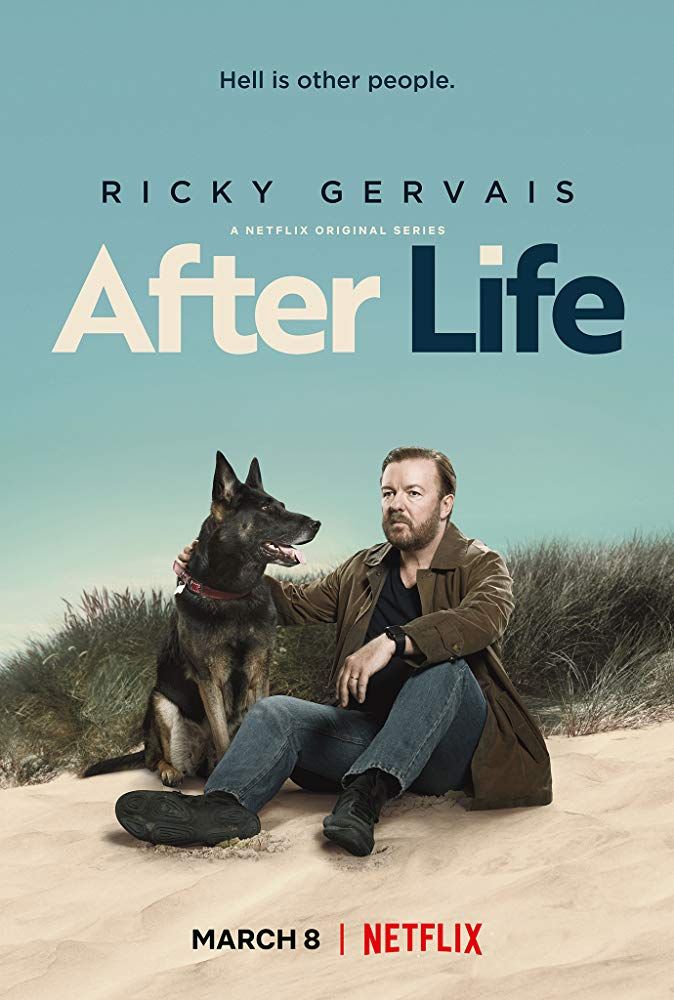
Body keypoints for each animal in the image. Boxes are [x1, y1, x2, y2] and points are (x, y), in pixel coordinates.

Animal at [82, 454, 318, 788]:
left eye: (282, 505)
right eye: (266, 509)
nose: (317, 524)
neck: (232, 595)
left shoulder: (260, 671)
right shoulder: (210, 679)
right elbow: (221, 737)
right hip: (161, 704)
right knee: (154, 758)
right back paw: (170, 769)